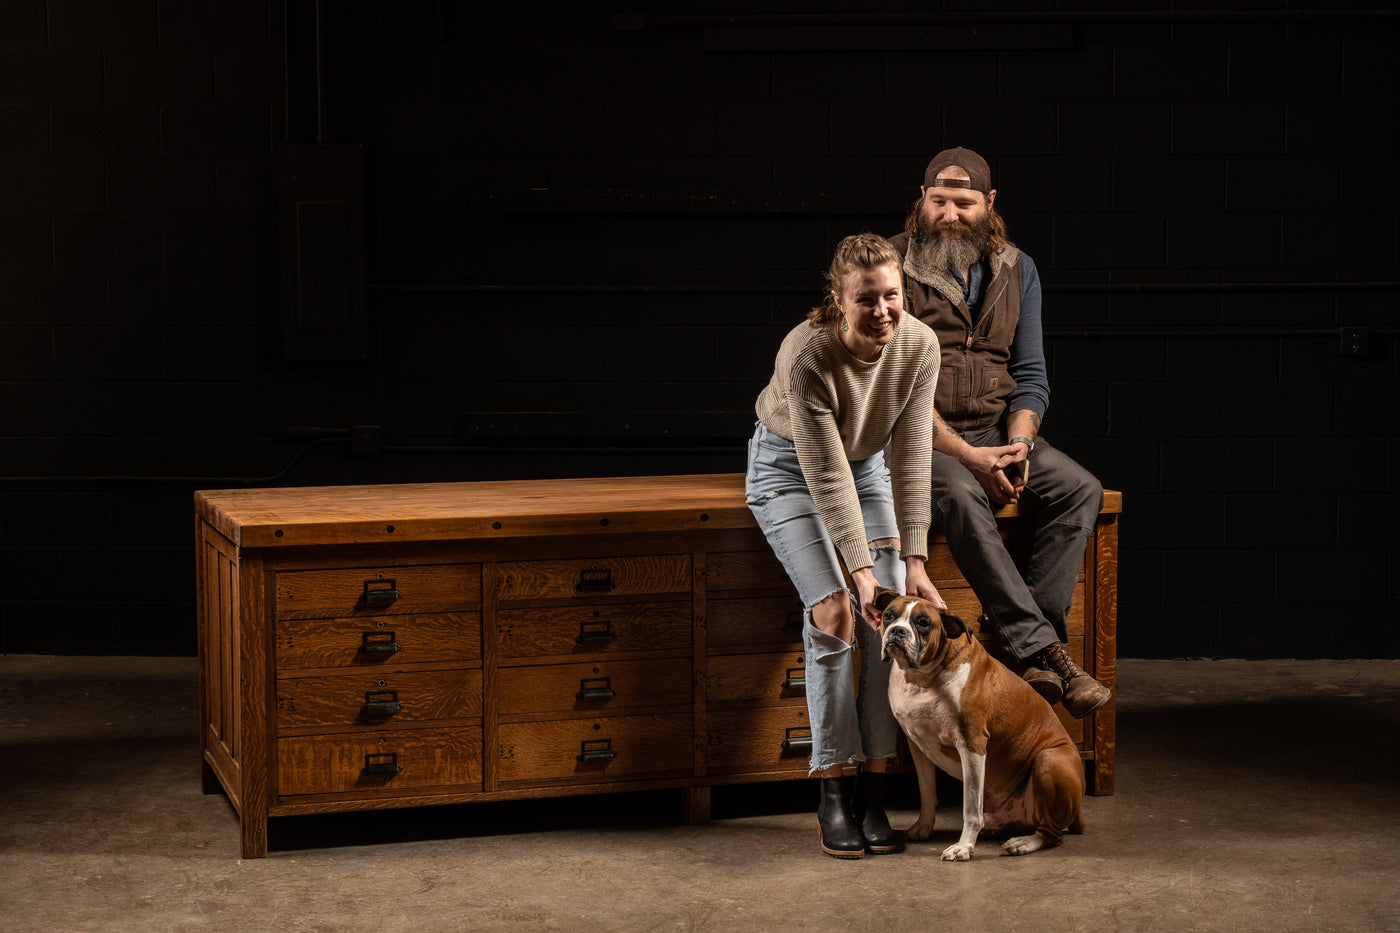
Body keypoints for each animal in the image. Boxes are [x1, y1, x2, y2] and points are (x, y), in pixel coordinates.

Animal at [879, 588, 1086, 857]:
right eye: (888, 616)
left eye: (923, 623)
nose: (897, 631)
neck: (921, 677)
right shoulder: (918, 746)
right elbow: (927, 792)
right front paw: (924, 827)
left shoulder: (972, 744)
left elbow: (970, 807)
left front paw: (964, 847)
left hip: (1049, 759)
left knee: (1051, 833)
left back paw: (1024, 842)